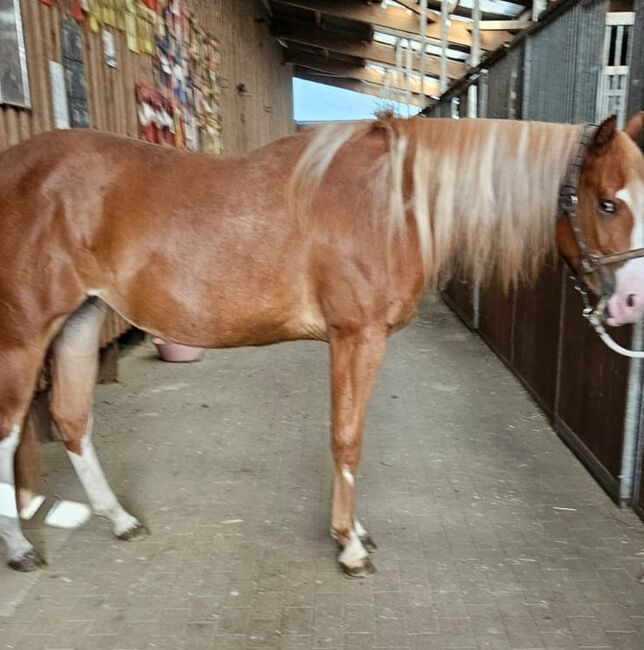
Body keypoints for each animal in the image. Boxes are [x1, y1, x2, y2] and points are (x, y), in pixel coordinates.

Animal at [0, 114, 640, 576]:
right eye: (607, 201)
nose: (631, 302)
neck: (393, 204)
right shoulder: (357, 337)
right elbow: (347, 440)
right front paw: (349, 546)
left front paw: (354, 533)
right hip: (26, 332)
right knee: (10, 430)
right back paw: (20, 548)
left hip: (81, 319)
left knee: (72, 419)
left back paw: (118, 519)